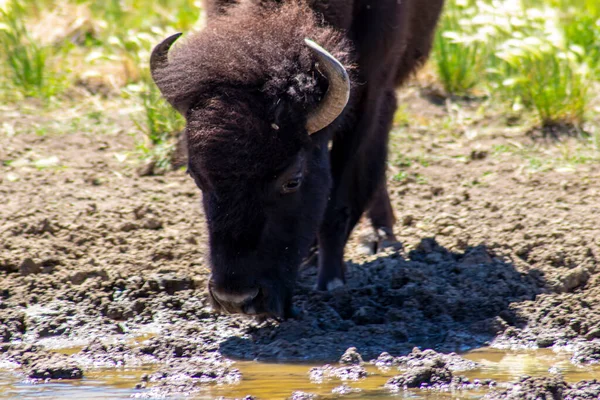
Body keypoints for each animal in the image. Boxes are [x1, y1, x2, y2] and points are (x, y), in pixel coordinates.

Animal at [152, 0, 446, 318]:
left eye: (292, 180)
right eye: (196, 176)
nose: (235, 298)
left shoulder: (367, 96)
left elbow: (338, 198)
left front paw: (331, 281)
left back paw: (378, 238)